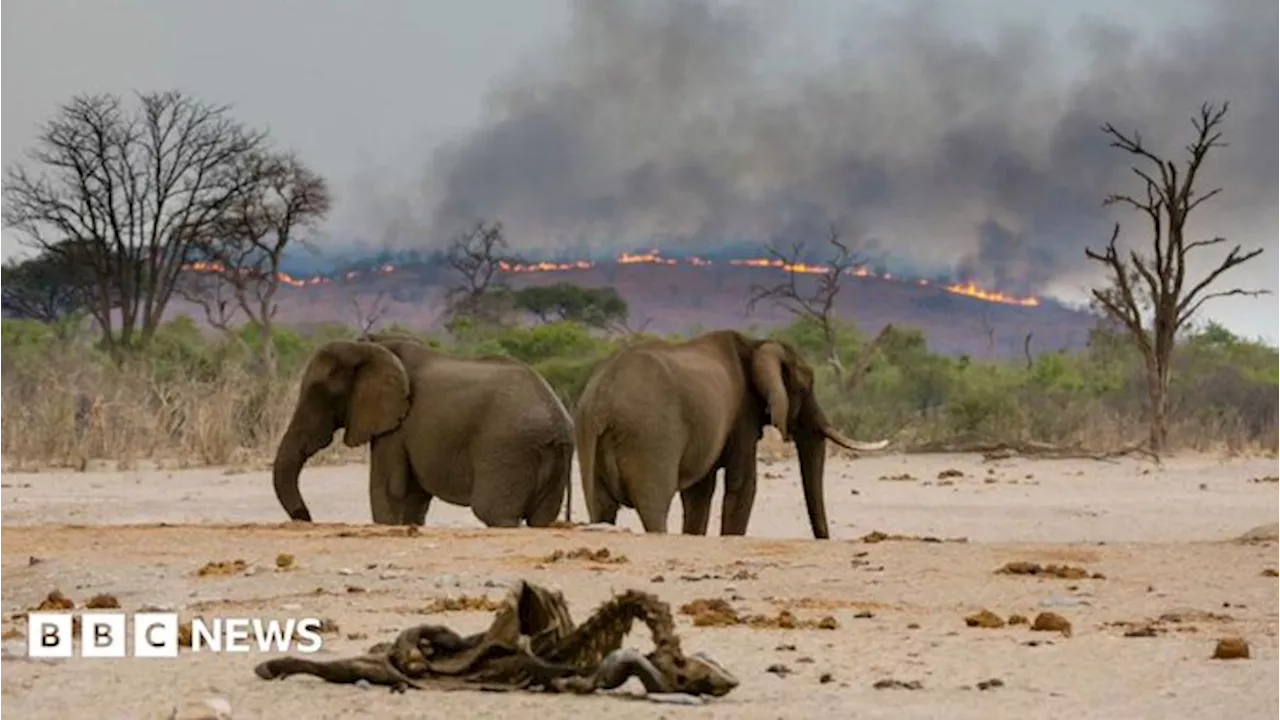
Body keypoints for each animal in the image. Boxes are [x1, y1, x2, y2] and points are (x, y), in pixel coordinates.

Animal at [272, 333, 573, 527]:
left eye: (318, 392)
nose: (307, 517)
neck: (370, 347)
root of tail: (558, 420)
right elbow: (412, 500)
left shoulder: (396, 427)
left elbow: (388, 492)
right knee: (541, 518)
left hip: (506, 449)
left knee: (494, 513)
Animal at [573, 327, 885, 535]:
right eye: (805, 386)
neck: (757, 345)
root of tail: (602, 401)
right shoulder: (742, 415)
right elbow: (743, 485)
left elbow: (699, 493)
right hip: (650, 437)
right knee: (654, 507)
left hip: (588, 435)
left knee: (600, 507)